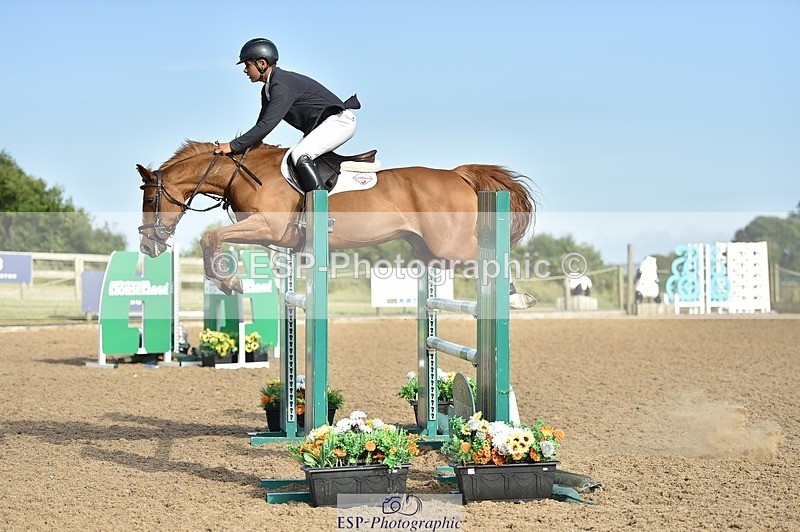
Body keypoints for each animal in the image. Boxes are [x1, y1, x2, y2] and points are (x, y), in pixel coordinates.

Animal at [137, 141, 538, 302]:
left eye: (150, 198)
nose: (147, 245)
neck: (244, 172)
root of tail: (457, 175)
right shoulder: (273, 237)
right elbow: (217, 240)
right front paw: (229, 280)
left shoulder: (268, 226)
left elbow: (211, 237)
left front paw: (230, 281)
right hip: (429, 250)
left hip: (449, 246)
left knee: (490, 258)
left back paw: (518, 298)